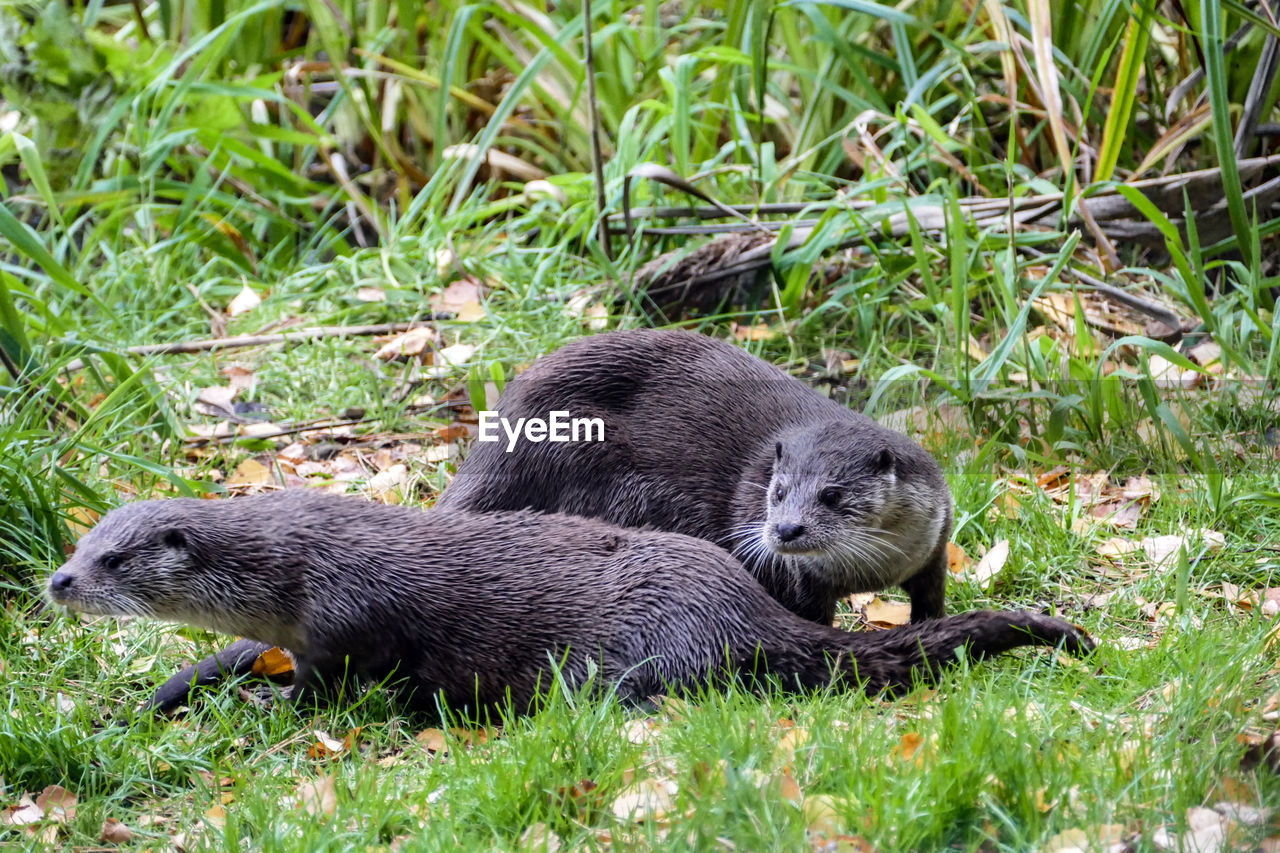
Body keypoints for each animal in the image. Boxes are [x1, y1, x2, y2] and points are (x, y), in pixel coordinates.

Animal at [440, 327, 952, 622]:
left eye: (831, 494)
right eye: (778, 492)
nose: (786, 530)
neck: (874, 568)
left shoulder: (933, 543)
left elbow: (931, 598)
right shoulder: (797, 579)